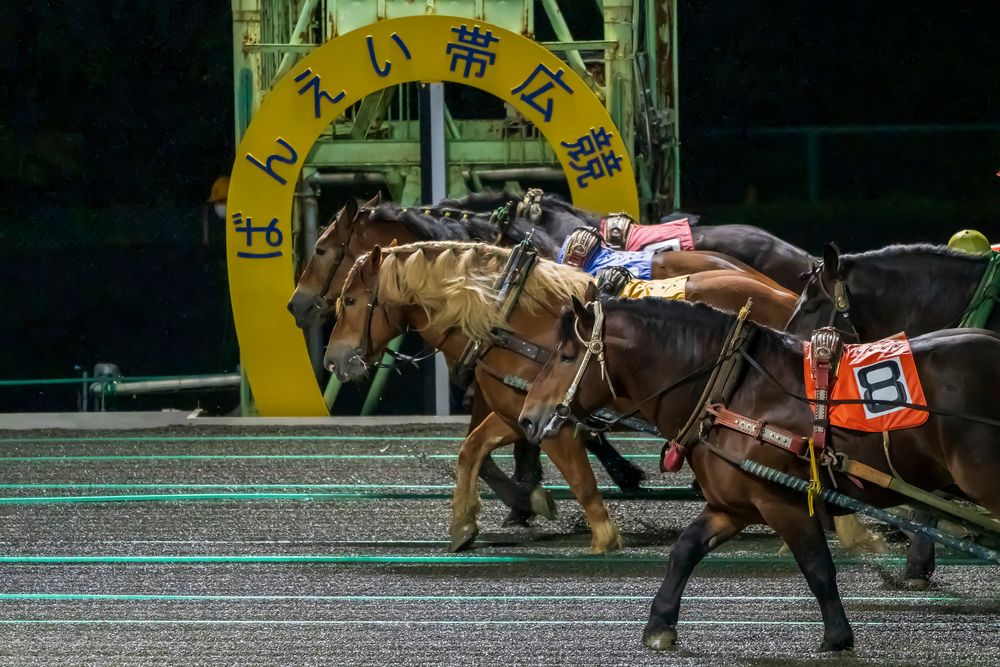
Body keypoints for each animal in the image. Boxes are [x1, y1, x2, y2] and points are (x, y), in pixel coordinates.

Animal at [322, 241, 801, 552]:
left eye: (351, 300)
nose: (331, 360)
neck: (507, 315)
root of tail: (786, 295)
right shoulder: (519, 412)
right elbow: (472, 448)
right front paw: (464, 521)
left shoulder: (555, 423)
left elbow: (582, 482)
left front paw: (604, 537)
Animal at [517, 297, 1000, 652]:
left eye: (566, 356)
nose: (527, 419)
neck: (732, 390)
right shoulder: (733, 505)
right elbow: (685, 550)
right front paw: (660, 623)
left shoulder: (780, 501)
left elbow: (817, 566)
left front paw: (837, 637)